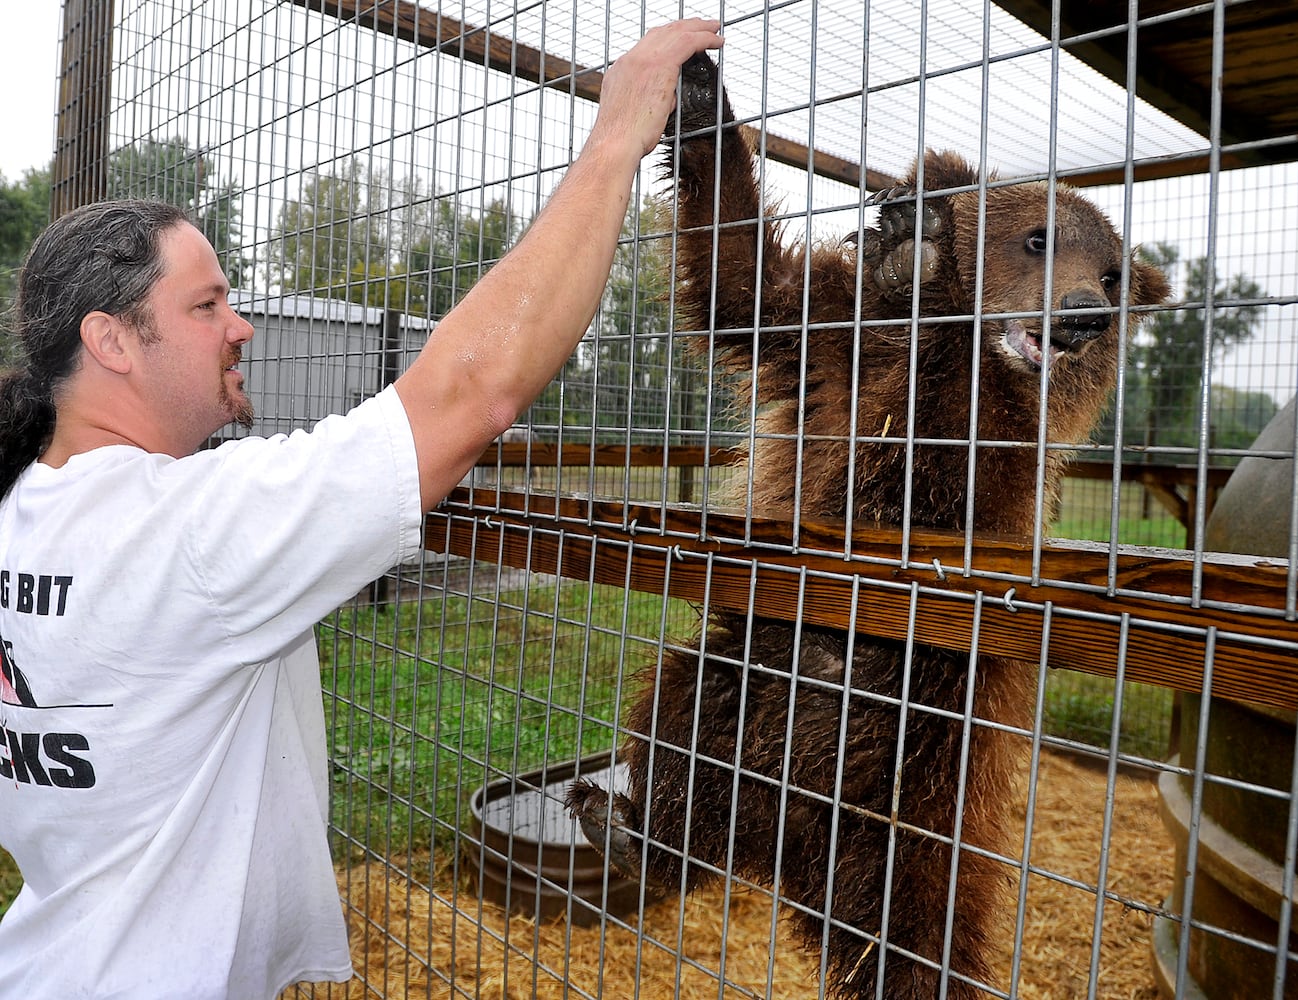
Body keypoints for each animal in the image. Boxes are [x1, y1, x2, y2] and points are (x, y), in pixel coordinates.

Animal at [568, 54, 1168, 997]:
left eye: (1112, 271)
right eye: (1038, 240)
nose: (1082, 315)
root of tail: (804, 838)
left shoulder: (986, 478)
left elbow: (939, 460)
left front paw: (921, 250)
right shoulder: (826, 347)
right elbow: (741, 278)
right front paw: (699, 98)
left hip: (921, 744)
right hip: (756, 668)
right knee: (685, 708)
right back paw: (638, 830)